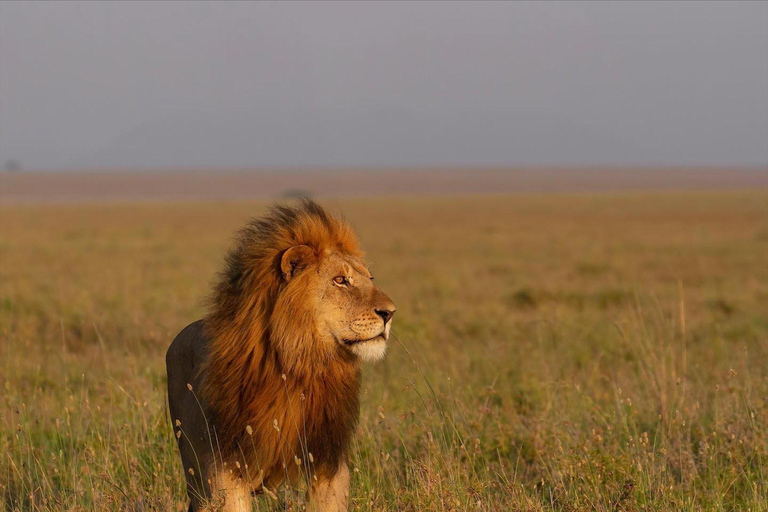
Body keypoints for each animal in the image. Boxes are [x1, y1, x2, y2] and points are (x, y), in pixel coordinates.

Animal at [167, 201, 396, 512]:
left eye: (370, 279)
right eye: (340, 280)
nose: (390, 313)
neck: (301, 363)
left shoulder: (327, 459)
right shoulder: (225, 466)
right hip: (195, 472)